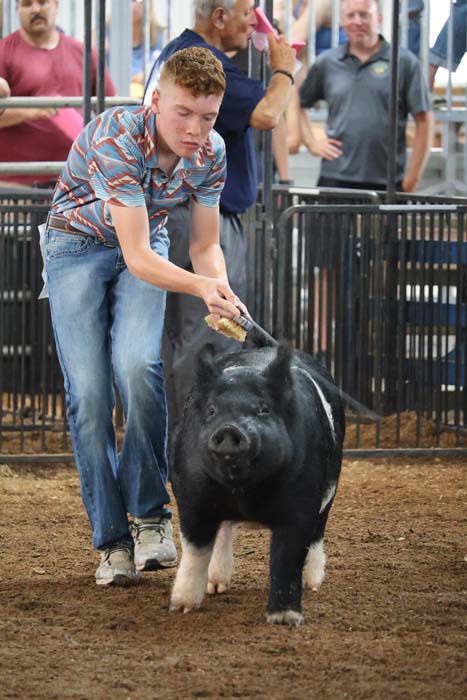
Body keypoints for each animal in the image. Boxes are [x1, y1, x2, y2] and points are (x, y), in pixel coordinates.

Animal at [169, 339, 345, 626]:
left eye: (264, 409)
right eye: (212, 410)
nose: (229, 428)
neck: (243, 491)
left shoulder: (301, 503)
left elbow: (286, 558)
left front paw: (285, 619)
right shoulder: (190, 499)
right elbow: (196, 551)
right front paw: (182, 608)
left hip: (330, 487)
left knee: (318, 533)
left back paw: (312, 583)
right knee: (224, 531)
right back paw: (216, 586)